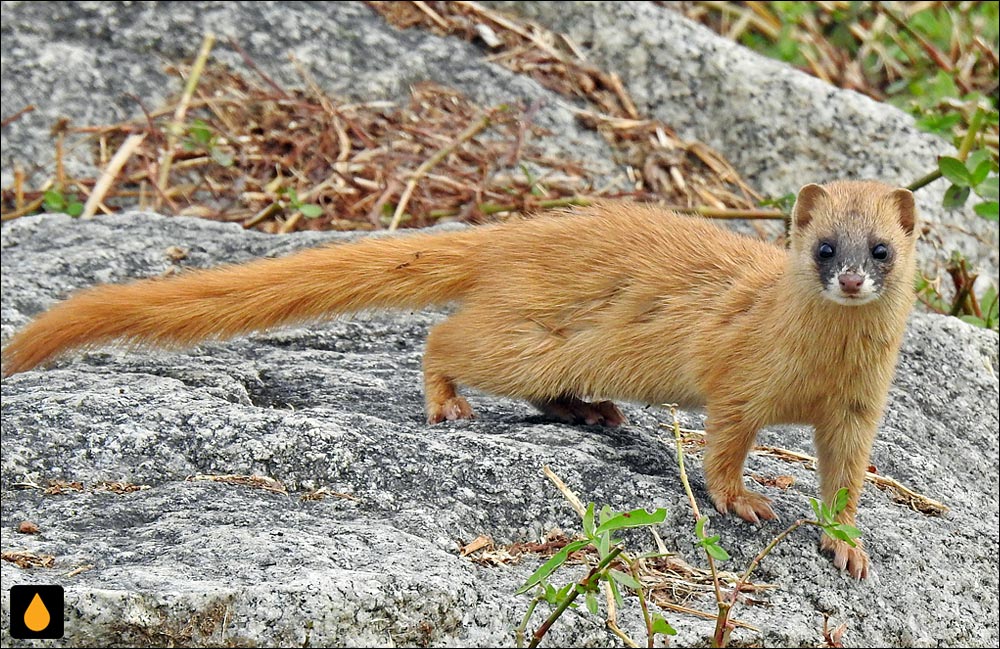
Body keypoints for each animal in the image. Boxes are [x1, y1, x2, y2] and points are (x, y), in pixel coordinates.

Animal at [1, 178, 920, 576]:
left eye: (880, 248)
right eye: (822, 246)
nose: (849, 279)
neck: (821, 364)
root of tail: (518, 232)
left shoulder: (858, 408)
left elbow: (847, 478)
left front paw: (848, 547)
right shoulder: (737, 374)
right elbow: (725, 441)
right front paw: (745, 499)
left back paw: (594, 413)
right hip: (520, 336)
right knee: (446, 335)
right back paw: (450, 404)